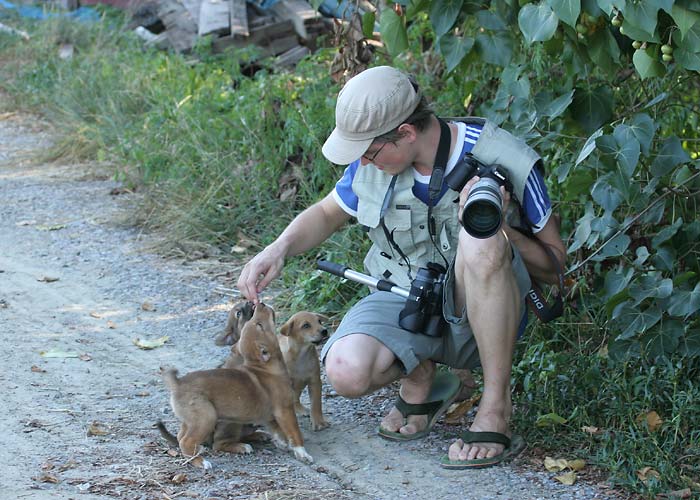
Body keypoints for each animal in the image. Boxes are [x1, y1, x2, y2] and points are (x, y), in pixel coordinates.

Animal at [164, 302, 312, 470]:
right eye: (259, 325)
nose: (260, 303)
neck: (264, 368)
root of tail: (178, 383)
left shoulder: (270, 415)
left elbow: (278, 431)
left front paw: (282, 443)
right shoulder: (285, 410)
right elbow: (295, 433)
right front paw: (303, 453)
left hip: (190, 420)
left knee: (180, 436)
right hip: (208, 418)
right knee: (192, 441)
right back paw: (202, 461)